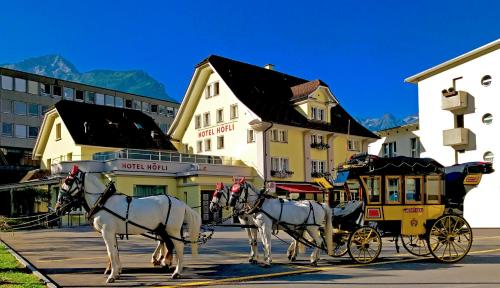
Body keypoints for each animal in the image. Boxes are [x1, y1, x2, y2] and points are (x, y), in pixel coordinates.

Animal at [55, 165, 201, 282]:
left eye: (68, 181)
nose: (58, 206)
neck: (103, 202)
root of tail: (180, 202)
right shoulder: (112, 232)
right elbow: (115, 251)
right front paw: (116, 272)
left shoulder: (107, 232)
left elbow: (111, 252)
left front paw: (112, 276)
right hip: (163, 229)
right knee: (168, 243)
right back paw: (167, 263)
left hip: (172, 230)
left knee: (179, 246)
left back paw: (177, 272)